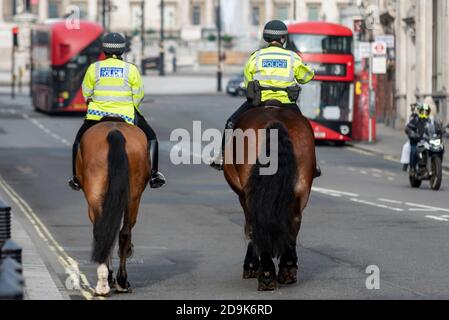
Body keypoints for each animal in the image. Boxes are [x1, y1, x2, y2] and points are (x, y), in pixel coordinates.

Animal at [75, 119, 149, 296]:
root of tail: (114, 131)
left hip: (99, 196)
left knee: (107, 232)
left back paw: (109, 282)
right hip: (131, 197)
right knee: (120, 232)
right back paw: (113, 281)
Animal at [223, 106, 316, 292]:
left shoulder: (243, 195)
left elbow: (249, 228)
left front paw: (251, 266)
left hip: (250, 194)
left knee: (258, 222)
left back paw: (266, 274)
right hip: (300, 189)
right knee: (293, 221)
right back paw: (287, 270)